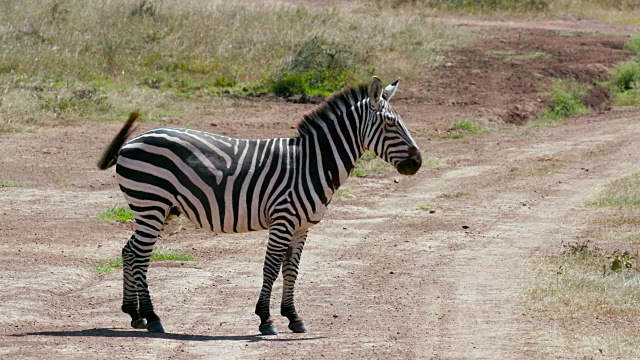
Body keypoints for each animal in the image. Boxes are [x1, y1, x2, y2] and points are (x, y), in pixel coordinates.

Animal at [97, 77, 420, 336]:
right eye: (390, 124)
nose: (417, 162)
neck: (311, 163)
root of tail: (133, 141)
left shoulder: (301, 227)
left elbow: (291, 271)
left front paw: (294, 317)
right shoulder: (283, 220)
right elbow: (271, 269)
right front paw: (266, 320)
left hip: (154, 210)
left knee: (129, 251)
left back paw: (134, 314)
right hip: (151, 204)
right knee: (140, 256)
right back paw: (152, 317)